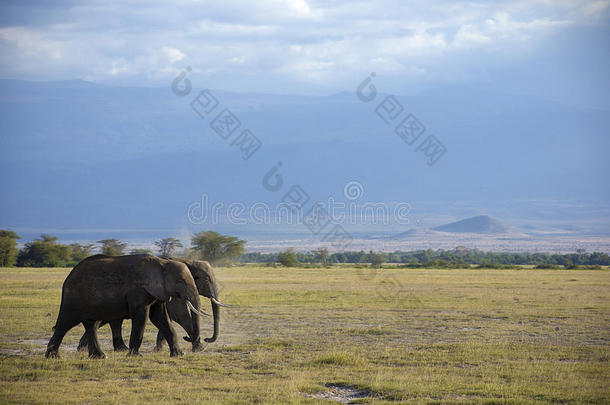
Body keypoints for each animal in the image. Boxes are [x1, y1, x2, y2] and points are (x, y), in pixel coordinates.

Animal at [45, 252, 207, 356]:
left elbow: (160, 318)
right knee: (65, 323)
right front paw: (134, 355)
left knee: (91, 324)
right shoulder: (138, 289)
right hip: (74, 298)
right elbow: (142, 318)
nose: (187, 338)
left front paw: (179, 354)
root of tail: (68, 278)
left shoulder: (158, 290)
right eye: (180, 281)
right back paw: (53, 357)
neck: (162, 262)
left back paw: (99, 357)